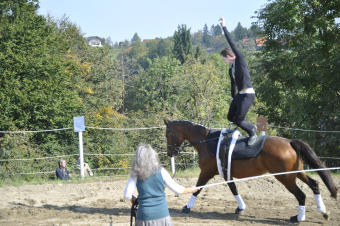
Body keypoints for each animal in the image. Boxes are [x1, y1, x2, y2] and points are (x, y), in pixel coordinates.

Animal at [164, 120, 338, 222]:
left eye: (167, 133)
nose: (170, 153)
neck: (208, 142)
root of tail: (290, 142)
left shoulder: (206, 172)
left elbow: (198, 189)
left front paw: (187, 207)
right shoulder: (226, 173)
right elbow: (233, 188)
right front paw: (241, 208)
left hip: (286, 178)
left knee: (301, 195)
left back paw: (299, 218)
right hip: (296, 173)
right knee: (314, 184)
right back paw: (323, 211)